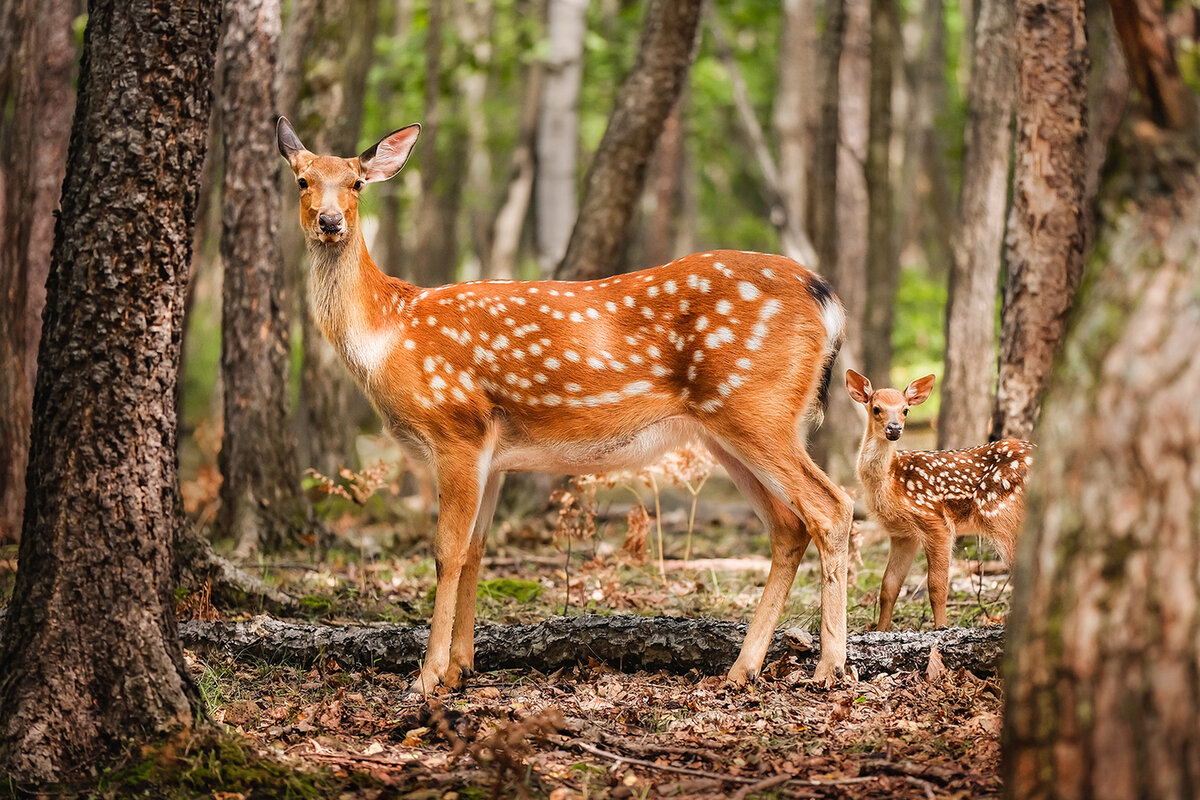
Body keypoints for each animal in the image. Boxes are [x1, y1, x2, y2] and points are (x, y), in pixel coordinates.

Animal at [274, 117, 854, 695]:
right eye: (302, 180)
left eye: (356, 183)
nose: (330, 221)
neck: (390, 331)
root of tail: (827, 298)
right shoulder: (493, 454)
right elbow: (478, 552)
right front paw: (462, 666)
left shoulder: (456, 427)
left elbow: (447, 553)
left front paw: (428, 676)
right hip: (726, 429)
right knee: (788, 525)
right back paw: (741, 669)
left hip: (756, 406)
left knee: (832, 505)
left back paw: (829, 667)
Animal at [844, 371, 1032, 633]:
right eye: (876, 408)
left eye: (905, 410)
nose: (894, 428)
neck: (890, 482)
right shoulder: (903, 533)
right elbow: (889, 586)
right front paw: (880, 630)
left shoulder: (934, 520)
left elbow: (937, 585)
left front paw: (941, 627)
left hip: (1000, 514)